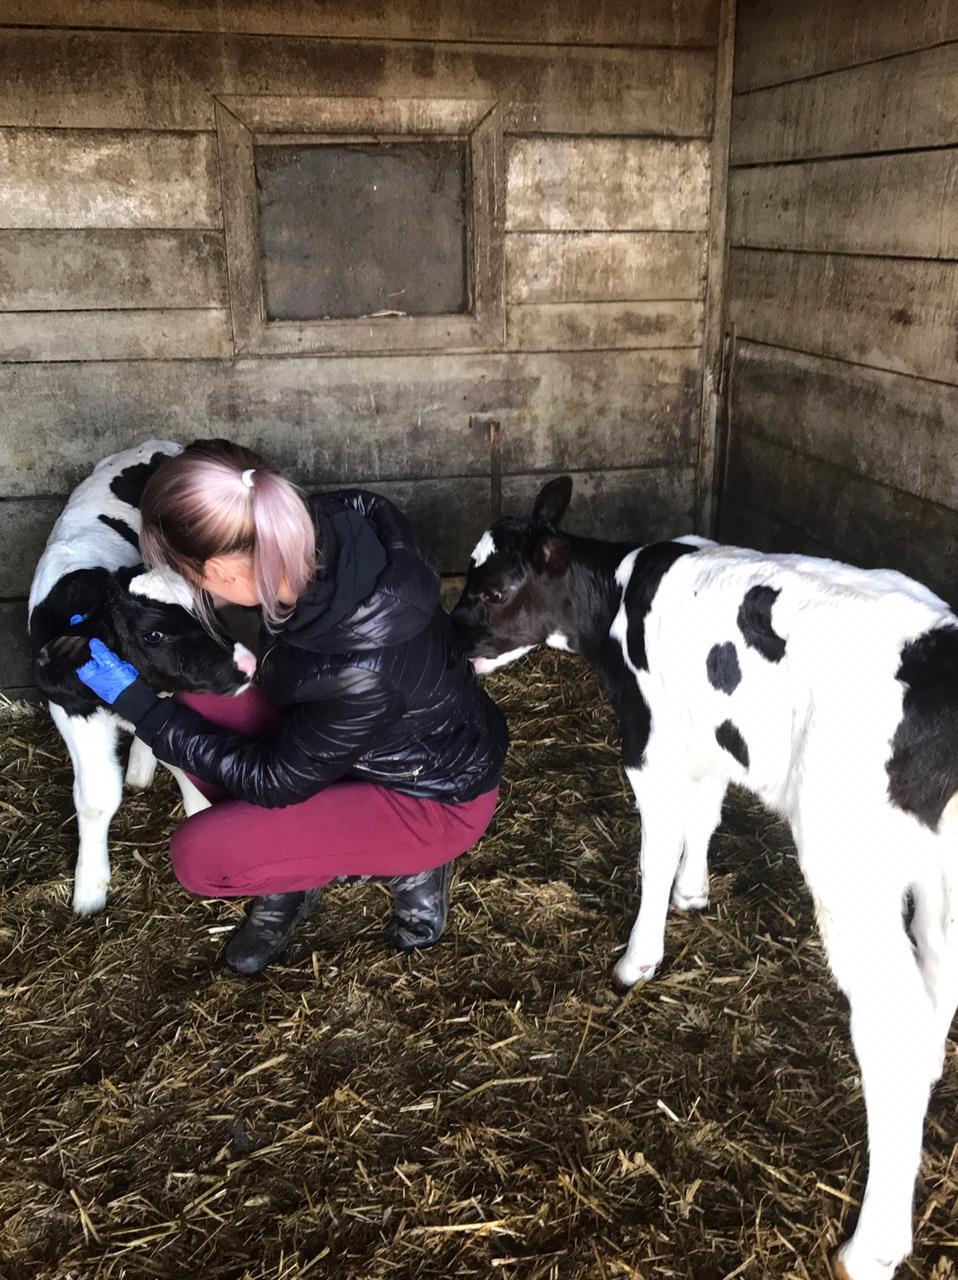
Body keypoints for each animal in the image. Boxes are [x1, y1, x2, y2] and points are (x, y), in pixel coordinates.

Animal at [450, 475, 958, 1280]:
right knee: (938, 982)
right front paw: (693, 893)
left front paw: (639, 957)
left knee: (892, 1020)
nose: (448, 643)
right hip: (943, 877)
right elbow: (706, 813)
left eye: (493, 587)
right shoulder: (709, 735)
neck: (616, 597)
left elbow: (656, 847)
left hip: (849, 867)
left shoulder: (646, 735)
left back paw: (873, 1243)